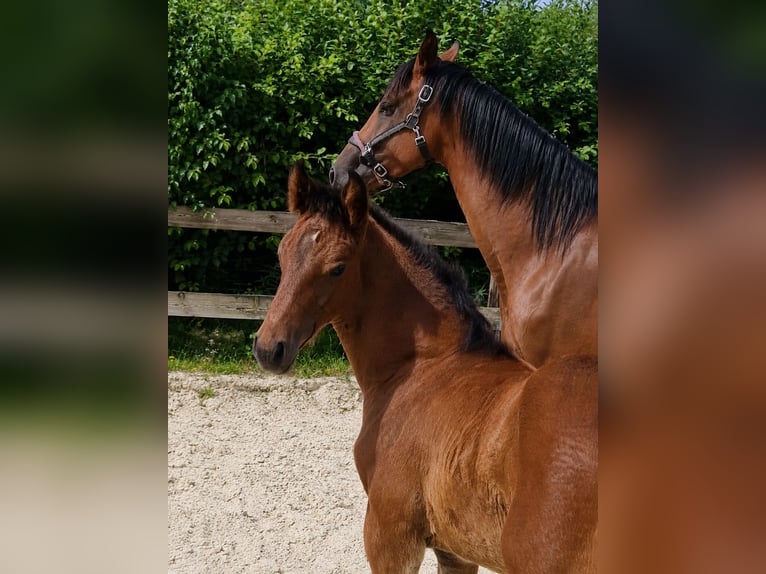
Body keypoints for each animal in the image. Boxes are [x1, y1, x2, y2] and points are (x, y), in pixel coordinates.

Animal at [254, 161, 597, 573]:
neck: (421, 367)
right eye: (281, 253)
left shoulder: (389, 532)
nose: (269, 348)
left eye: (337, 268)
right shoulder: (456, 550)